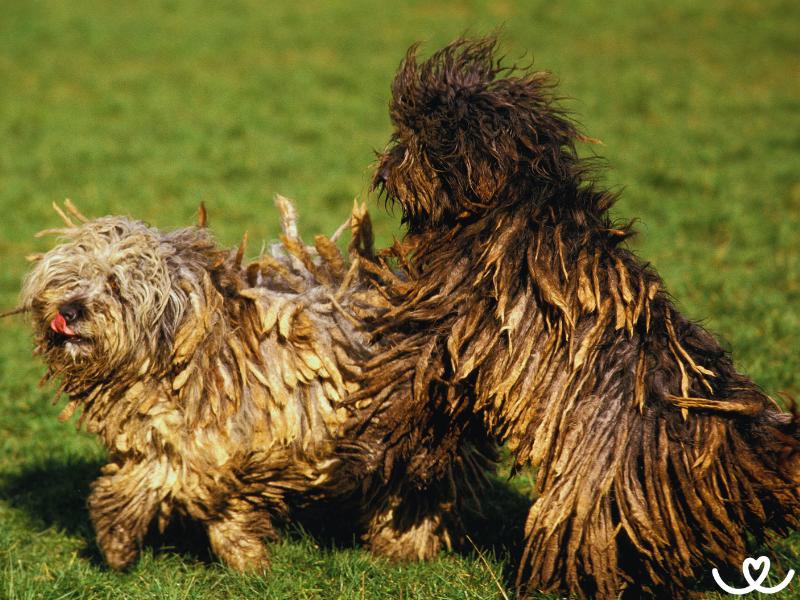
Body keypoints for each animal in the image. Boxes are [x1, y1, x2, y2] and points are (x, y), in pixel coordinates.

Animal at [354, 36, 800, 596]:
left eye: (422, 137)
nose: (384, 170)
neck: (512, 197)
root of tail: (731, 442)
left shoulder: (454, 315)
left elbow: (410, 376)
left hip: (591, 492)